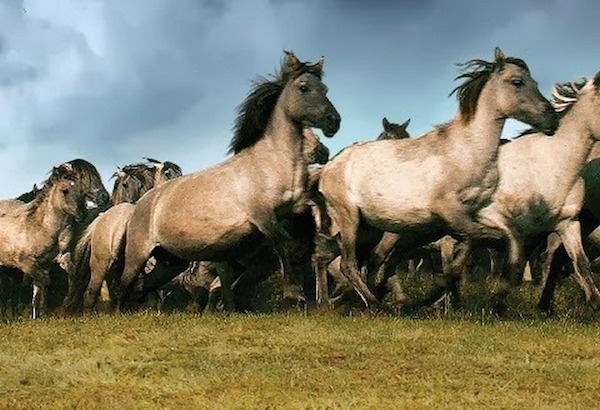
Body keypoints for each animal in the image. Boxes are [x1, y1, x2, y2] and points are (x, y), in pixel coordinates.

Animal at [0, 163, 87, 318]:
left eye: (82, 191)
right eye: (65, 191)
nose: (83, 214)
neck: (40, 228)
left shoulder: (51, 261)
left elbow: (44, 285)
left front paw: (40, 314)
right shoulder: (26, 264)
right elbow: (44, 282)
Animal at [114, 51, 340, 312]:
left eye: (325, 88)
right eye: (304, 87)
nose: (334, 121)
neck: (271, 163)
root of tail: (140, 203)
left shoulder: (294, 204)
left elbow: (317, 201)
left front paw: (326, 232)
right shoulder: (263, 217)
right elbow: (283, 243)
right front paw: (294, 293)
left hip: (170, 262)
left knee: (144, 285)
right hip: (139, 253)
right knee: (125, 283)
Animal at [318, 46, 556, 308]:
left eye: (535, 82)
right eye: (517, 82)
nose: (552, 119)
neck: (466, 151)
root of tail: (330, 167)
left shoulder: (475, 214)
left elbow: (500, 239)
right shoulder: (449, 213)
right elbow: (473, 239)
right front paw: (440, 294)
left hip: (368, 227)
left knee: (359, 261)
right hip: (349, 218)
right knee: (348, 263)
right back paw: (372, 303)